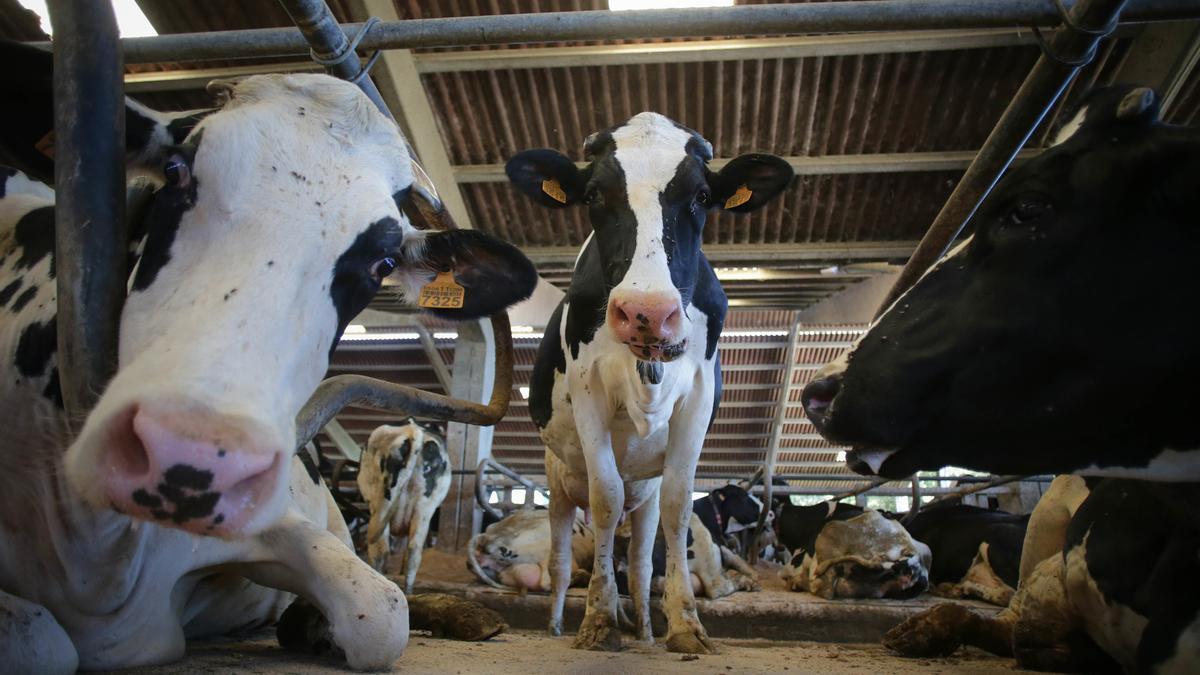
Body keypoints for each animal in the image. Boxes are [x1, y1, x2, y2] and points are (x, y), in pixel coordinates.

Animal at [357, 417, 451, 590]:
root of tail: (415, 431)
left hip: (380, 505)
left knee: (381, 551)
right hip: (424, 509)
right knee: (414, 551)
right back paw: (408, 591)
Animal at [508, 111, 796, 653]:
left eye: (701, 196)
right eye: (594, 194)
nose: (648, 312)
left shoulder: (697, 398)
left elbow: (679, 506)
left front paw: (684, 625)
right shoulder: (589, 392)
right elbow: (604, 497)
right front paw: (599, 621)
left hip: (641, 500)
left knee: (641, 562)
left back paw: (642, 630)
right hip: (557, 486)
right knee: (560, 562)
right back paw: (559, 624)